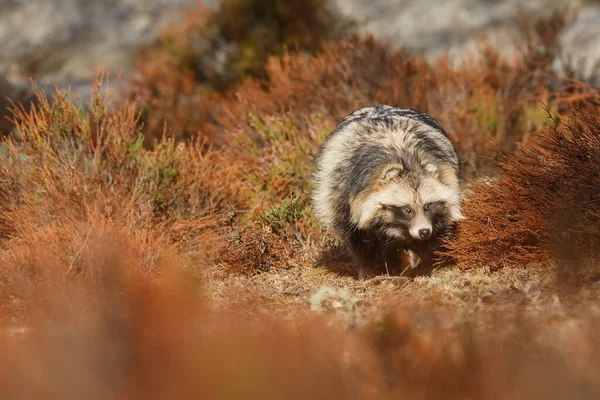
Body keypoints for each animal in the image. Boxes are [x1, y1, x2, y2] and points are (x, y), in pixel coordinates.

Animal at [312, 104, 466, 280]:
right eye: (407, 209)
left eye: (427, 206)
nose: (423, 232)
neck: (407, 160)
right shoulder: (344, 192)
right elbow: (357, 239)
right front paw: (367, 270)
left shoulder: (446, 173)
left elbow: (435, 234)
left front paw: (417, 261)